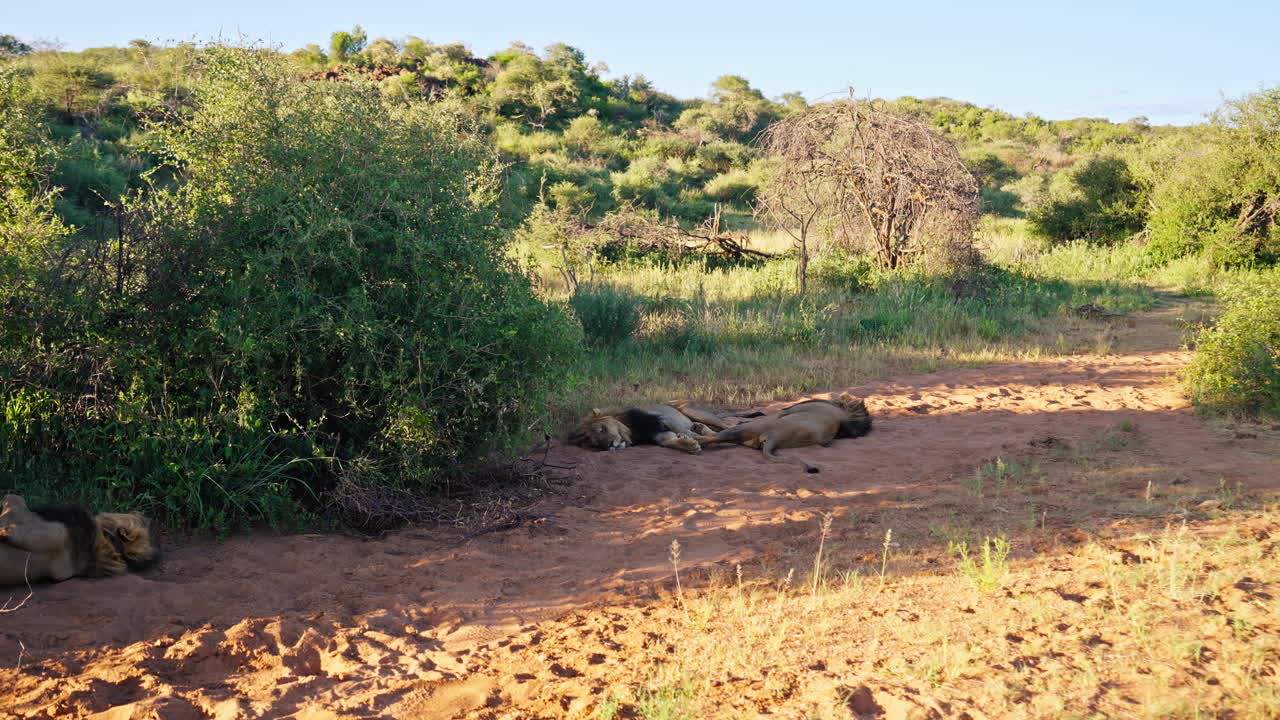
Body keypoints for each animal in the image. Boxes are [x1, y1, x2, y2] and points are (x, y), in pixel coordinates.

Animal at [567, 402, 731, 454]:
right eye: (596, 444)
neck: (633, 430)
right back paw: (699, 428)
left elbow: (695, 435)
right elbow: (670, 442)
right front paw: (689, 444)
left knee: (725, 425)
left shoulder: (666, 420)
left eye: (602, 429)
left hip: (691, 411)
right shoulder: (661, 436)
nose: (609, 445)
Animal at [699, 393, 872, 473]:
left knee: (713, 437)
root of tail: (775, 439)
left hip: (751, 428)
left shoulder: (785, 411)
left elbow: (755, 413)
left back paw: (696, 437)